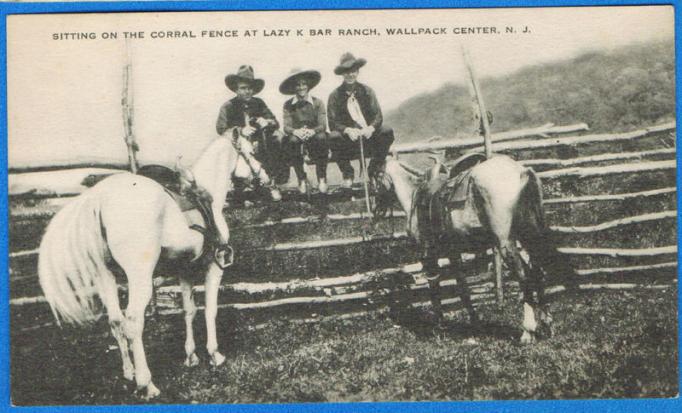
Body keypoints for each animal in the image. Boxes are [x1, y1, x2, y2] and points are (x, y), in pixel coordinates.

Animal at [37, 134, 266, 396]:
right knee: (133, 322)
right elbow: (210, 309)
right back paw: (146, 383)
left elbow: (188, 310)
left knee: (116, 321)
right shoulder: (214, 266)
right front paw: (214, 354)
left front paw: (191, 356)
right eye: (251, 151)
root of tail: (99, 199)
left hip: (105, 276)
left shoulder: (185, 270)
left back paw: (129, 373)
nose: (264, 176)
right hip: (140, 279)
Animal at [374, 154, 572, 342]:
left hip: (506, 243)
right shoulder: (453, 253)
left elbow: (434, 288)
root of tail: (522, 171)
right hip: (528, 236)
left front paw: (440, 327)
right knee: (538, 272)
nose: (377, 210)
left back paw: (527, 332)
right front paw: (475, 323)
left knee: (525, 276)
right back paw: (547, 324)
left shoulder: (428, 255)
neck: (414, 196)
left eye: (375, 177)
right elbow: (463, 288)